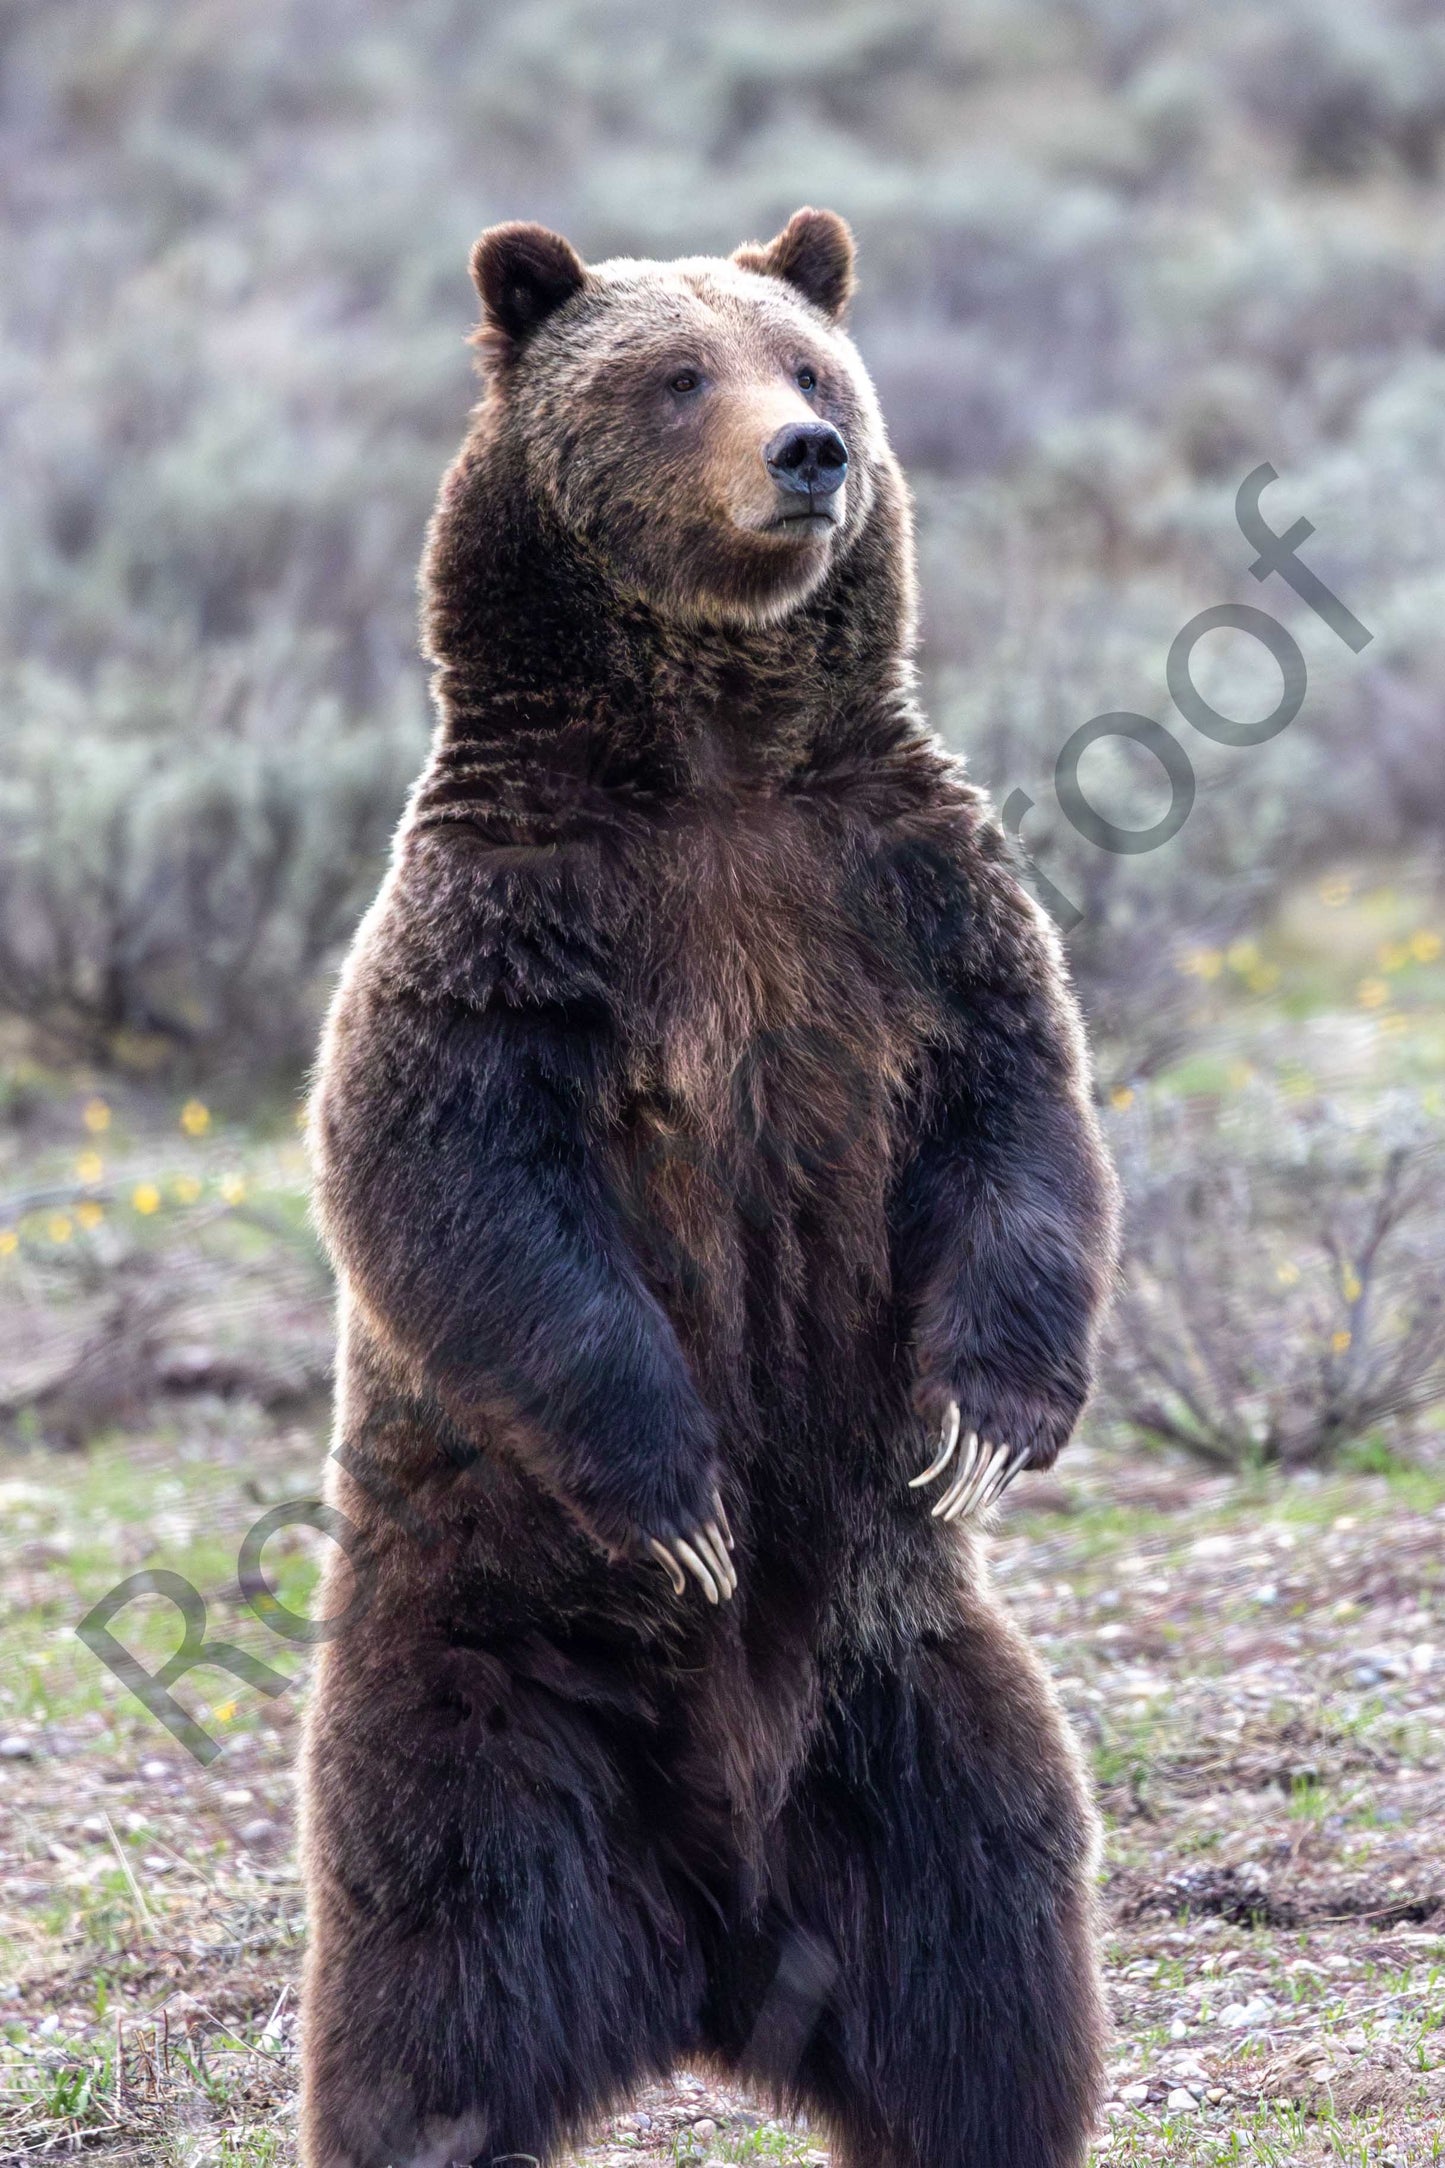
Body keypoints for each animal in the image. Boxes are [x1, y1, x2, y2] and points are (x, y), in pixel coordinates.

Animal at [300, 206, 1120, 2168]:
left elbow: (1022, 1119)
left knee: (995, 1933)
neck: (718, 763)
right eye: (676, 375)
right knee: (440, 1953)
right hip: (482, 1664)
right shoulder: (517, 925)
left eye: (808, 364)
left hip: (904, 1697)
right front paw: (683, 1496)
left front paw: (989, 1417)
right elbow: (452, 1177)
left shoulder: (906, 893)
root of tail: (716, 1949)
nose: (808, 456)